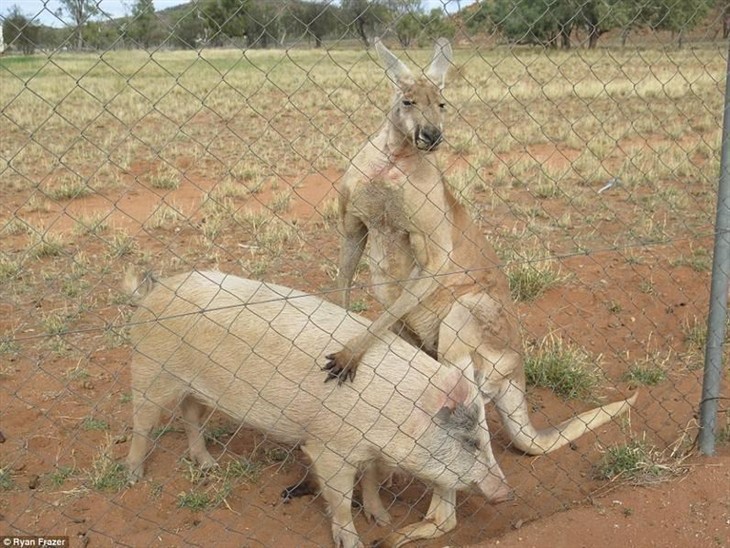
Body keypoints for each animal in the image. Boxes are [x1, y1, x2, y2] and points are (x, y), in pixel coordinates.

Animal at [123, 272, 512, 548]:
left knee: (190, 416)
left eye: (485, 437)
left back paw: (209, 466)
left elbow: (371, 483)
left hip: (195, 390)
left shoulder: (370, 451)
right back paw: (133, 477)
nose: (507, 493)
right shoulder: (329, 447)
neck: (394, 416)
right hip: (148, 371)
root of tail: (154, 291)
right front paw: (353, 542)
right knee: (142, 424)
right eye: (470, 441)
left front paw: (382, 520)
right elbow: (340, 498)